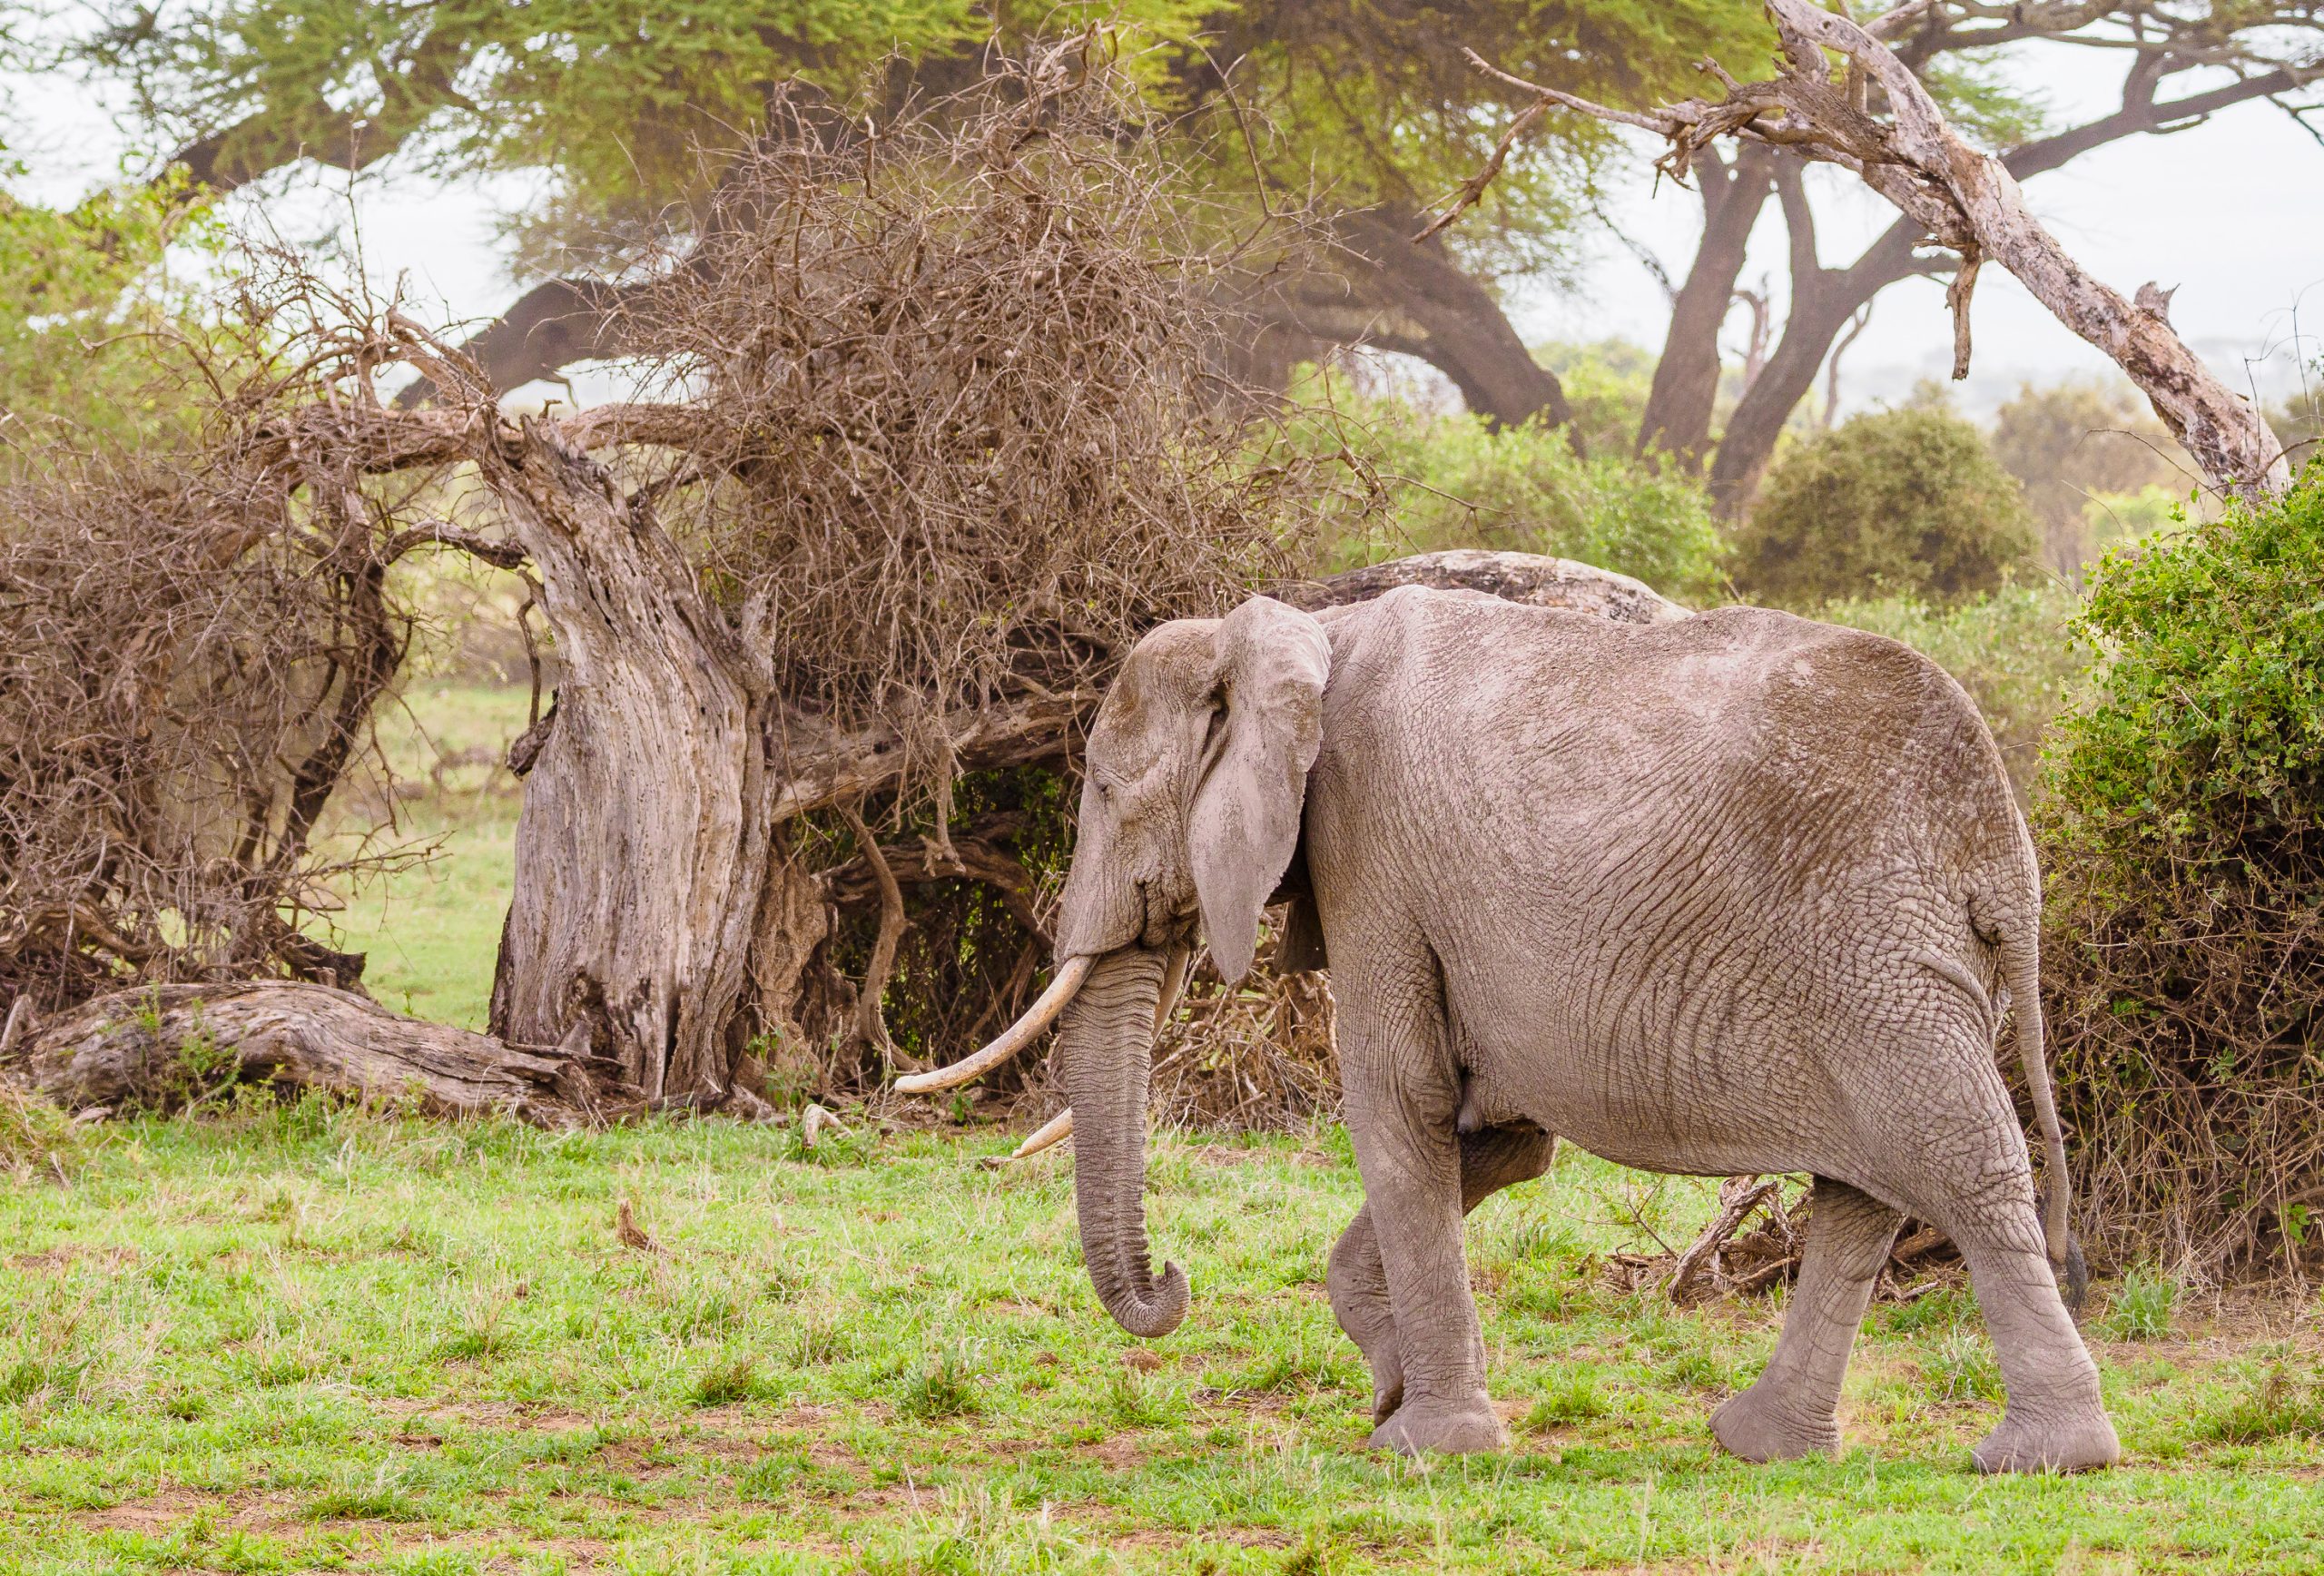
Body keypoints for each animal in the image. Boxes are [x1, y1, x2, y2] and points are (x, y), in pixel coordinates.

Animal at [900, 585, 2121, 1475]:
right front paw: (1389, 1388)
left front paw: (1421, 1441)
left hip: (1874, 955)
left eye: (1107, 790)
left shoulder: (1371, 849)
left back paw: (2044, 1457)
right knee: (1863, 1192)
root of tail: (2001, 842)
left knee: (1959, 1165)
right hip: (1890, 968)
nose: (1172, 1280)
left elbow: (1399, 1102)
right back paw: (1760, 1445)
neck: (1296, 634)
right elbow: (1494, 1137)